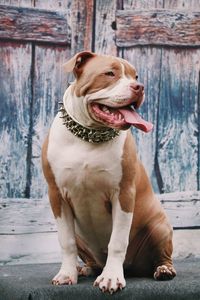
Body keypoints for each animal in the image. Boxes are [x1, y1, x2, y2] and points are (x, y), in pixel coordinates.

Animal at [41, 51, 176, 292]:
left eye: (135, 76)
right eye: (110, 73)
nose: (139, 86)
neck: (89, 135)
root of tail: (133, 268)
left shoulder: (123, 194)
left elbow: (118, 241)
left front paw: (111, 277)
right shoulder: (57, 195)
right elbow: (66, 242)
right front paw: (66, 274)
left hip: (159, 227)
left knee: (161, 256)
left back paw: (163, 270)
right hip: (81, 235)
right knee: (87, 256)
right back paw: (84, 269)